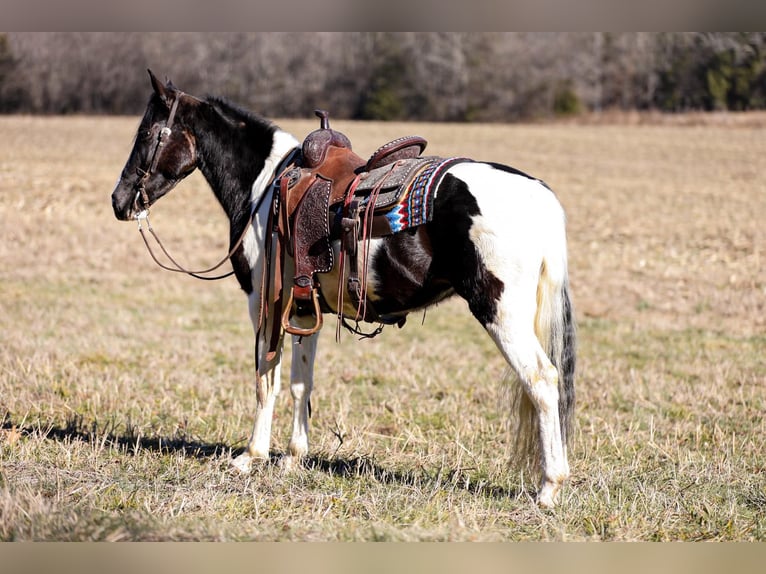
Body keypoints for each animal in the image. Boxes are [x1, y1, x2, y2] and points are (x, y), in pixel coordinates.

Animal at [108, 72, 576, 508]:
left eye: (147, 134)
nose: (119, 200)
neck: (266, 187)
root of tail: (540, 197)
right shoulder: (302, 307)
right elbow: (301, 383)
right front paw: (293, 457)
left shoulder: (264, 304)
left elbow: (265, 379)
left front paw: (252, 455)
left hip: (501, 311)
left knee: (542, 380)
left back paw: (549, 488)